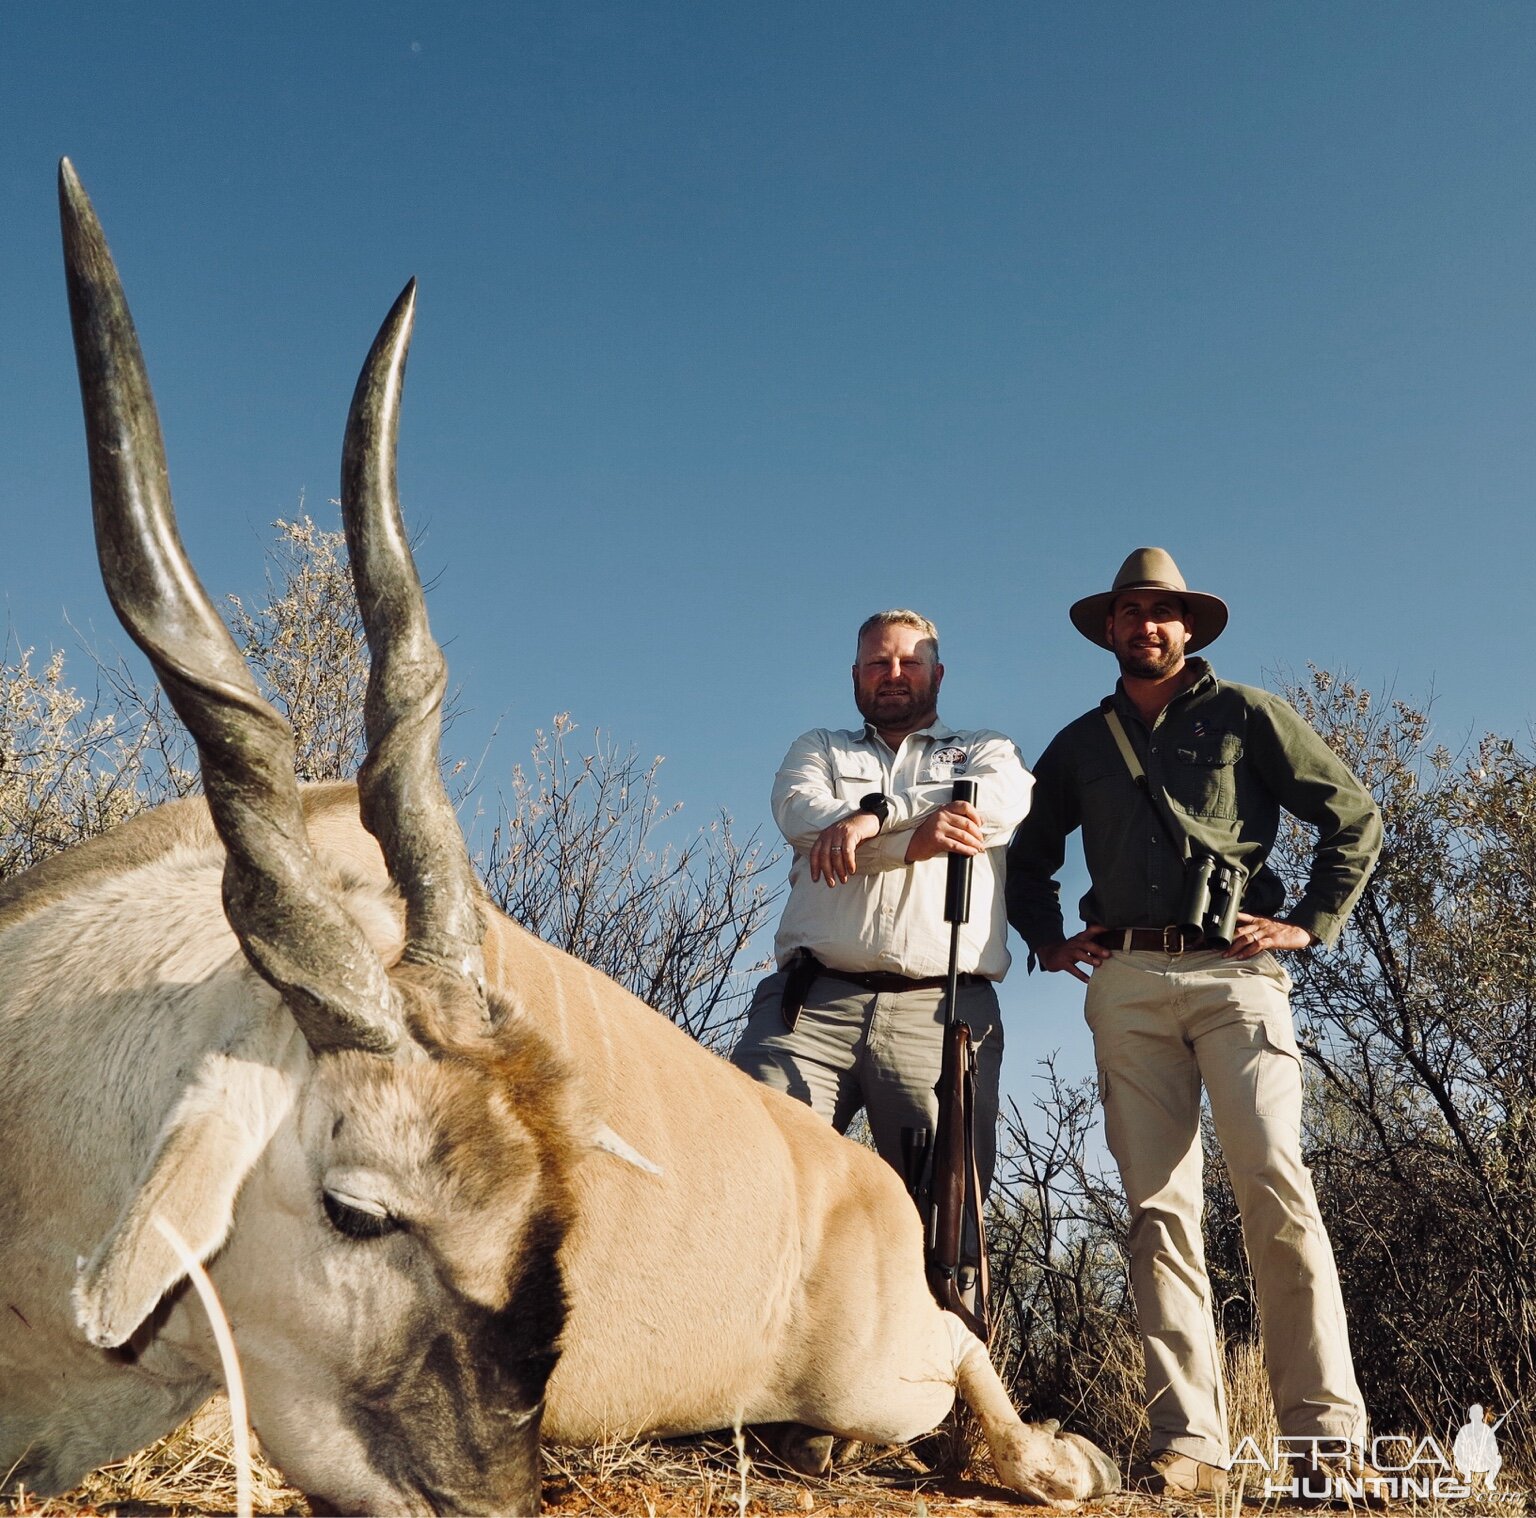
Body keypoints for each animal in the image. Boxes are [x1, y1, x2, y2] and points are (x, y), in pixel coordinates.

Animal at [0, 159, 1118, 1511]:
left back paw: (1058, 1456)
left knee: (963, 1349)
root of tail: (870, 1187)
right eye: (357, 1212)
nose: (490, 1488)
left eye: (546, 1221)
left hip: (893, 1367)